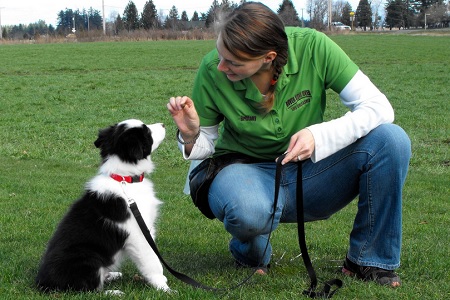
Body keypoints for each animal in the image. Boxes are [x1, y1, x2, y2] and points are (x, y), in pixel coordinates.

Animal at [36, 119, 170, 292]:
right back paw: (114, 292)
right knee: (88, 289)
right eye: (147, 132)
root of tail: (42, 282)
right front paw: (164, 287)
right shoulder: (139, 233)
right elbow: (153, 261)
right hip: (89, 257)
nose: (164, 124)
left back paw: (112, 275)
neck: (125, 179)